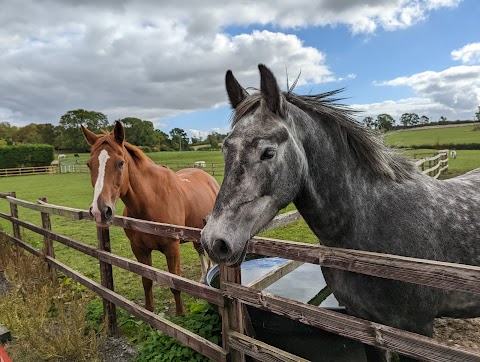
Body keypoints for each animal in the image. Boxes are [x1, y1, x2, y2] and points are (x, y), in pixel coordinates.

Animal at [82, 121, 219, 314]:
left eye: (121, 163)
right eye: (89, 164)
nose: (99, 211)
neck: (151, 202)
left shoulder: (172, 248)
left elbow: (175, 283)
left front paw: (180, 313)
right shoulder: (139, 249)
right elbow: (146, 281)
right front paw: (149, 311)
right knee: (200, 251)